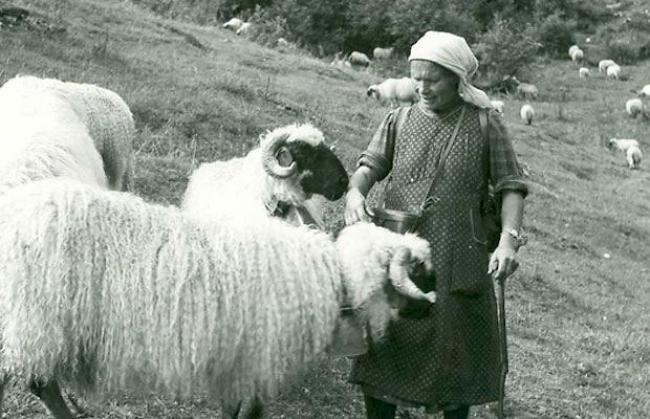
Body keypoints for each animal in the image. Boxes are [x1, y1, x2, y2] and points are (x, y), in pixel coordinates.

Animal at [0, 180, 436, 419]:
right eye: (419, 271)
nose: (432, 309)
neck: (333, 275)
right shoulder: (262, 359)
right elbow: (253, 412)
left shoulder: (238, 359)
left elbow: (232, 409)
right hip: (37, 317)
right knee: (40, 382)